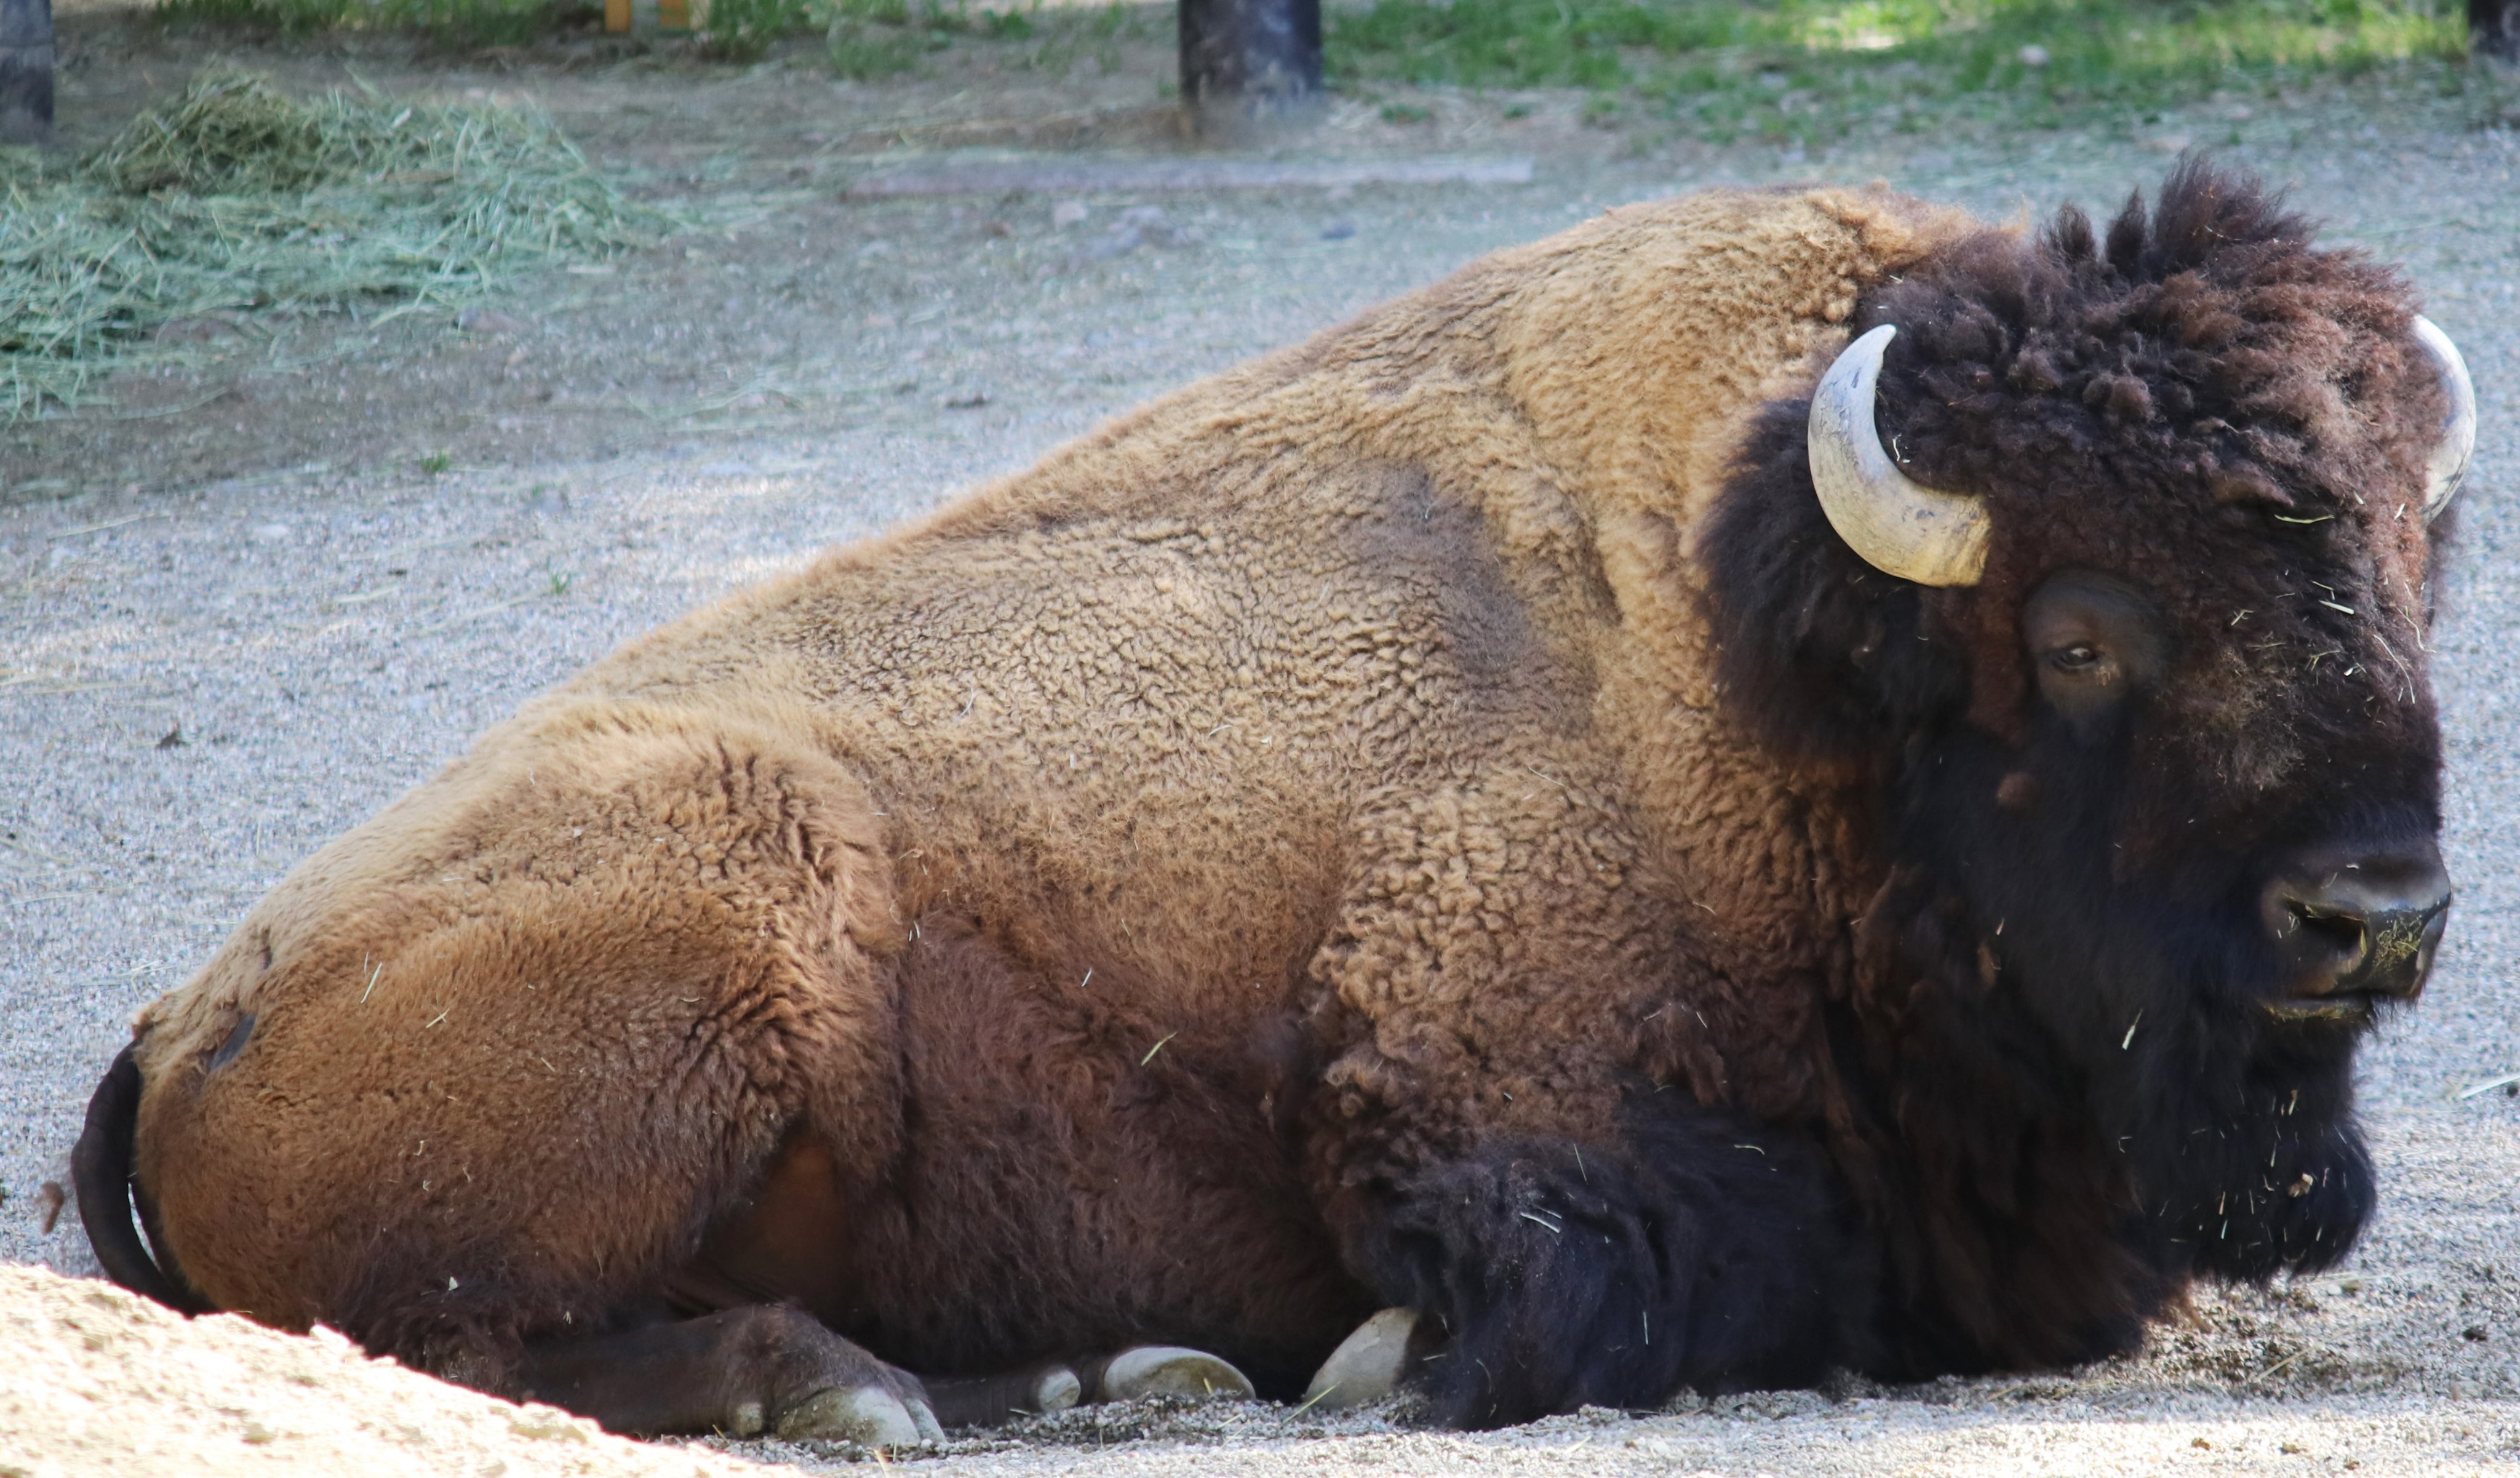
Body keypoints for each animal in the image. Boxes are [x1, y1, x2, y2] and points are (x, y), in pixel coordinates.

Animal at [79, 161, 2479, 1422]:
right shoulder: (1476, 1076)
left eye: (2406, 566)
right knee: (463, 1341)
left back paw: (1080, 1374)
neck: (1754, 653)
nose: (2372, 910)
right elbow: (1679, 1263)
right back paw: (859, 1385)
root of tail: (181, 1013)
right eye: (2077, 632)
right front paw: (1371, 1348)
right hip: (736, 911)